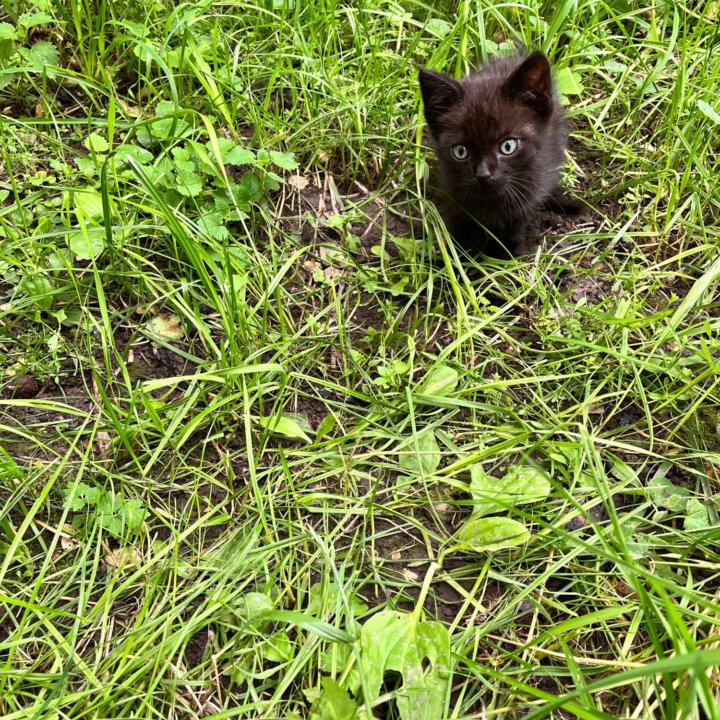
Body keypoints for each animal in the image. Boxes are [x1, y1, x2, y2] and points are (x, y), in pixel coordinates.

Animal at [420, 51, 576, 253]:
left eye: (508, 146)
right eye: (460, 151)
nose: (483, 175)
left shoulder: (530, 191)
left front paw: (506, 252)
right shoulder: (453, 193)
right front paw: (459, 253)